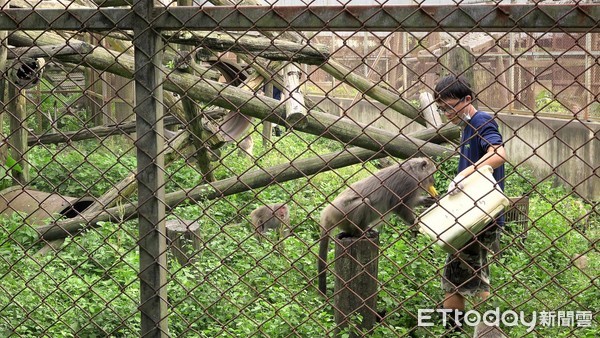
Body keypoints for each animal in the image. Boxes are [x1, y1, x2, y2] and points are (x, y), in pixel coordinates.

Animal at [316, 157, 438, 294]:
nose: (433, 181)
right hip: (342, 212)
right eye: (432, 174)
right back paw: (359, 233)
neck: (413, 171)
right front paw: (415, 222)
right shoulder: (409, 182)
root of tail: (328, 213)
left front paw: (427, 200)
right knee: (364, 202)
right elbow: (400, 206)